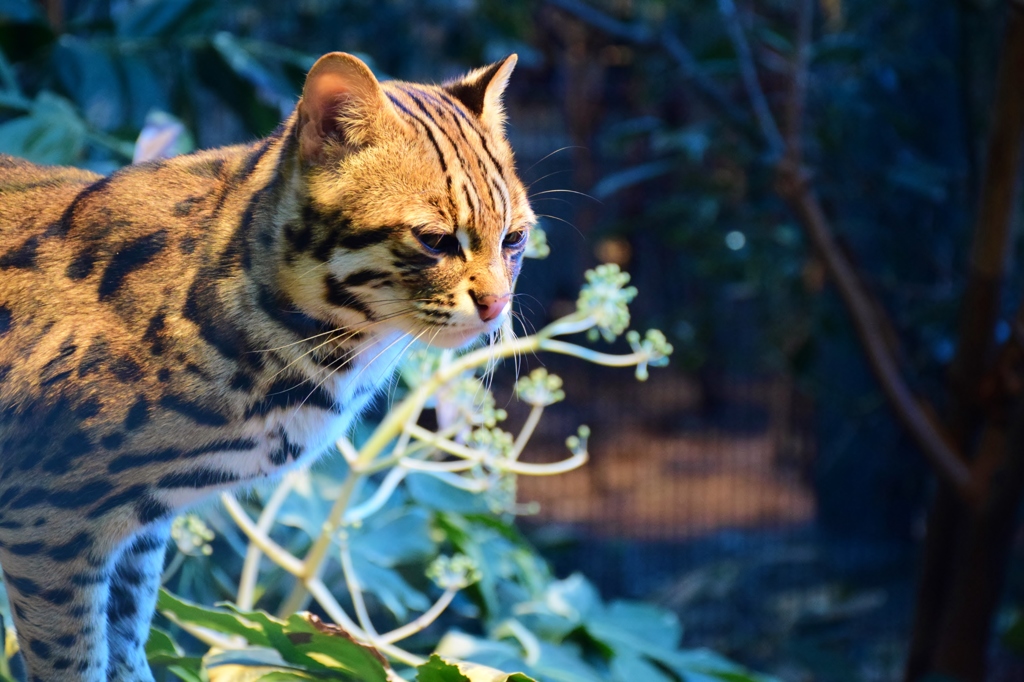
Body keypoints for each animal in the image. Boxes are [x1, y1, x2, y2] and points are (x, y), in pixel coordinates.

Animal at [0, 53, 532, 679]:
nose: (498, 306)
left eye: (515, 239)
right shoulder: (47, 524)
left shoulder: (137, 532)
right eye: (435, 240)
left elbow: (125, 646)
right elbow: (76, 659)